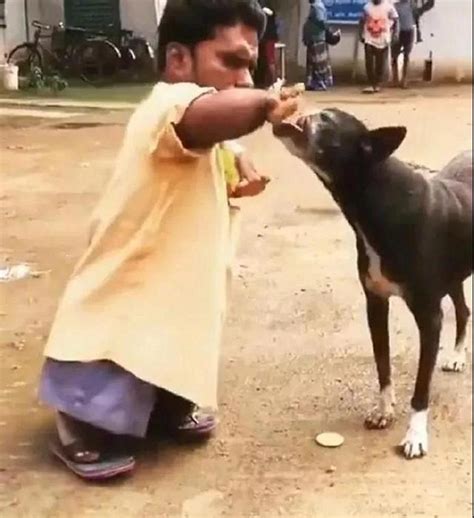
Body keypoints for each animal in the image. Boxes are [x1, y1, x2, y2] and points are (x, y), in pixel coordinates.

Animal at [272, 109, 472, 460]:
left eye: (327, 119)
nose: (303, 113)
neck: (379, 198)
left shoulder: (428, 316)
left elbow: (421, 387)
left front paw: (415, 435)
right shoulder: (376, 303)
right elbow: (382, 364)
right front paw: (383, 410)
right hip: (453, 275)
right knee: (464, 309)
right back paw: (458, 355)